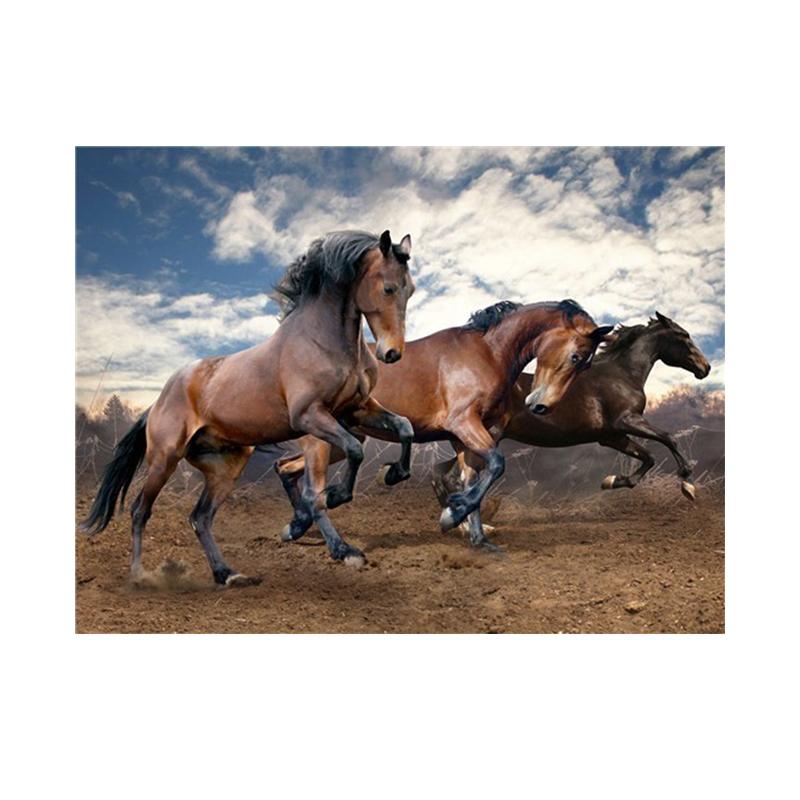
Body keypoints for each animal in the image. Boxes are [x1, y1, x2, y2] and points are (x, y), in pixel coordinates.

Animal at [81, 230, 416, 584]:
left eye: (410, 289)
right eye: (388, 287)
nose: (392, 353)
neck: (323, 341)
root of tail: (156, 402)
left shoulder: (357, 409)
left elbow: (404, 427)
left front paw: (393, 473)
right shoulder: (310, 417)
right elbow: (351, 453)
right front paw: (339, 513)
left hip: (226, 466)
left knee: (200, 517)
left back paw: (226, 574)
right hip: (164, 460)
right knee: (140, 511)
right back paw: (139, 575)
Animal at [275, 299, 614, 554]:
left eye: (585, 364)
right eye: (576, 356)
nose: (541, 406)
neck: (487, 353)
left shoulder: (467, 437)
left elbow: (473, 478)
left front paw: (479, 539)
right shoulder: (464, 423)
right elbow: (496, 465)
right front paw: (452, 515)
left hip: (339, 441)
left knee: (286, 468)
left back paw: (296, 527)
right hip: (322, 441)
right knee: (311, 490)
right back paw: (337, 545)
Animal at [431, 311, 712, 519]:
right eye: (683, 336)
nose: (705, 368)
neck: (621, 374)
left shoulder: (612, 436)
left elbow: (648, 457)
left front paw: (611, 481)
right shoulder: (626, 420)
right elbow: (668, 438)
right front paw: (688, 485)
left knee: (441, 474)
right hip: (486, 439)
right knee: (454, 478)